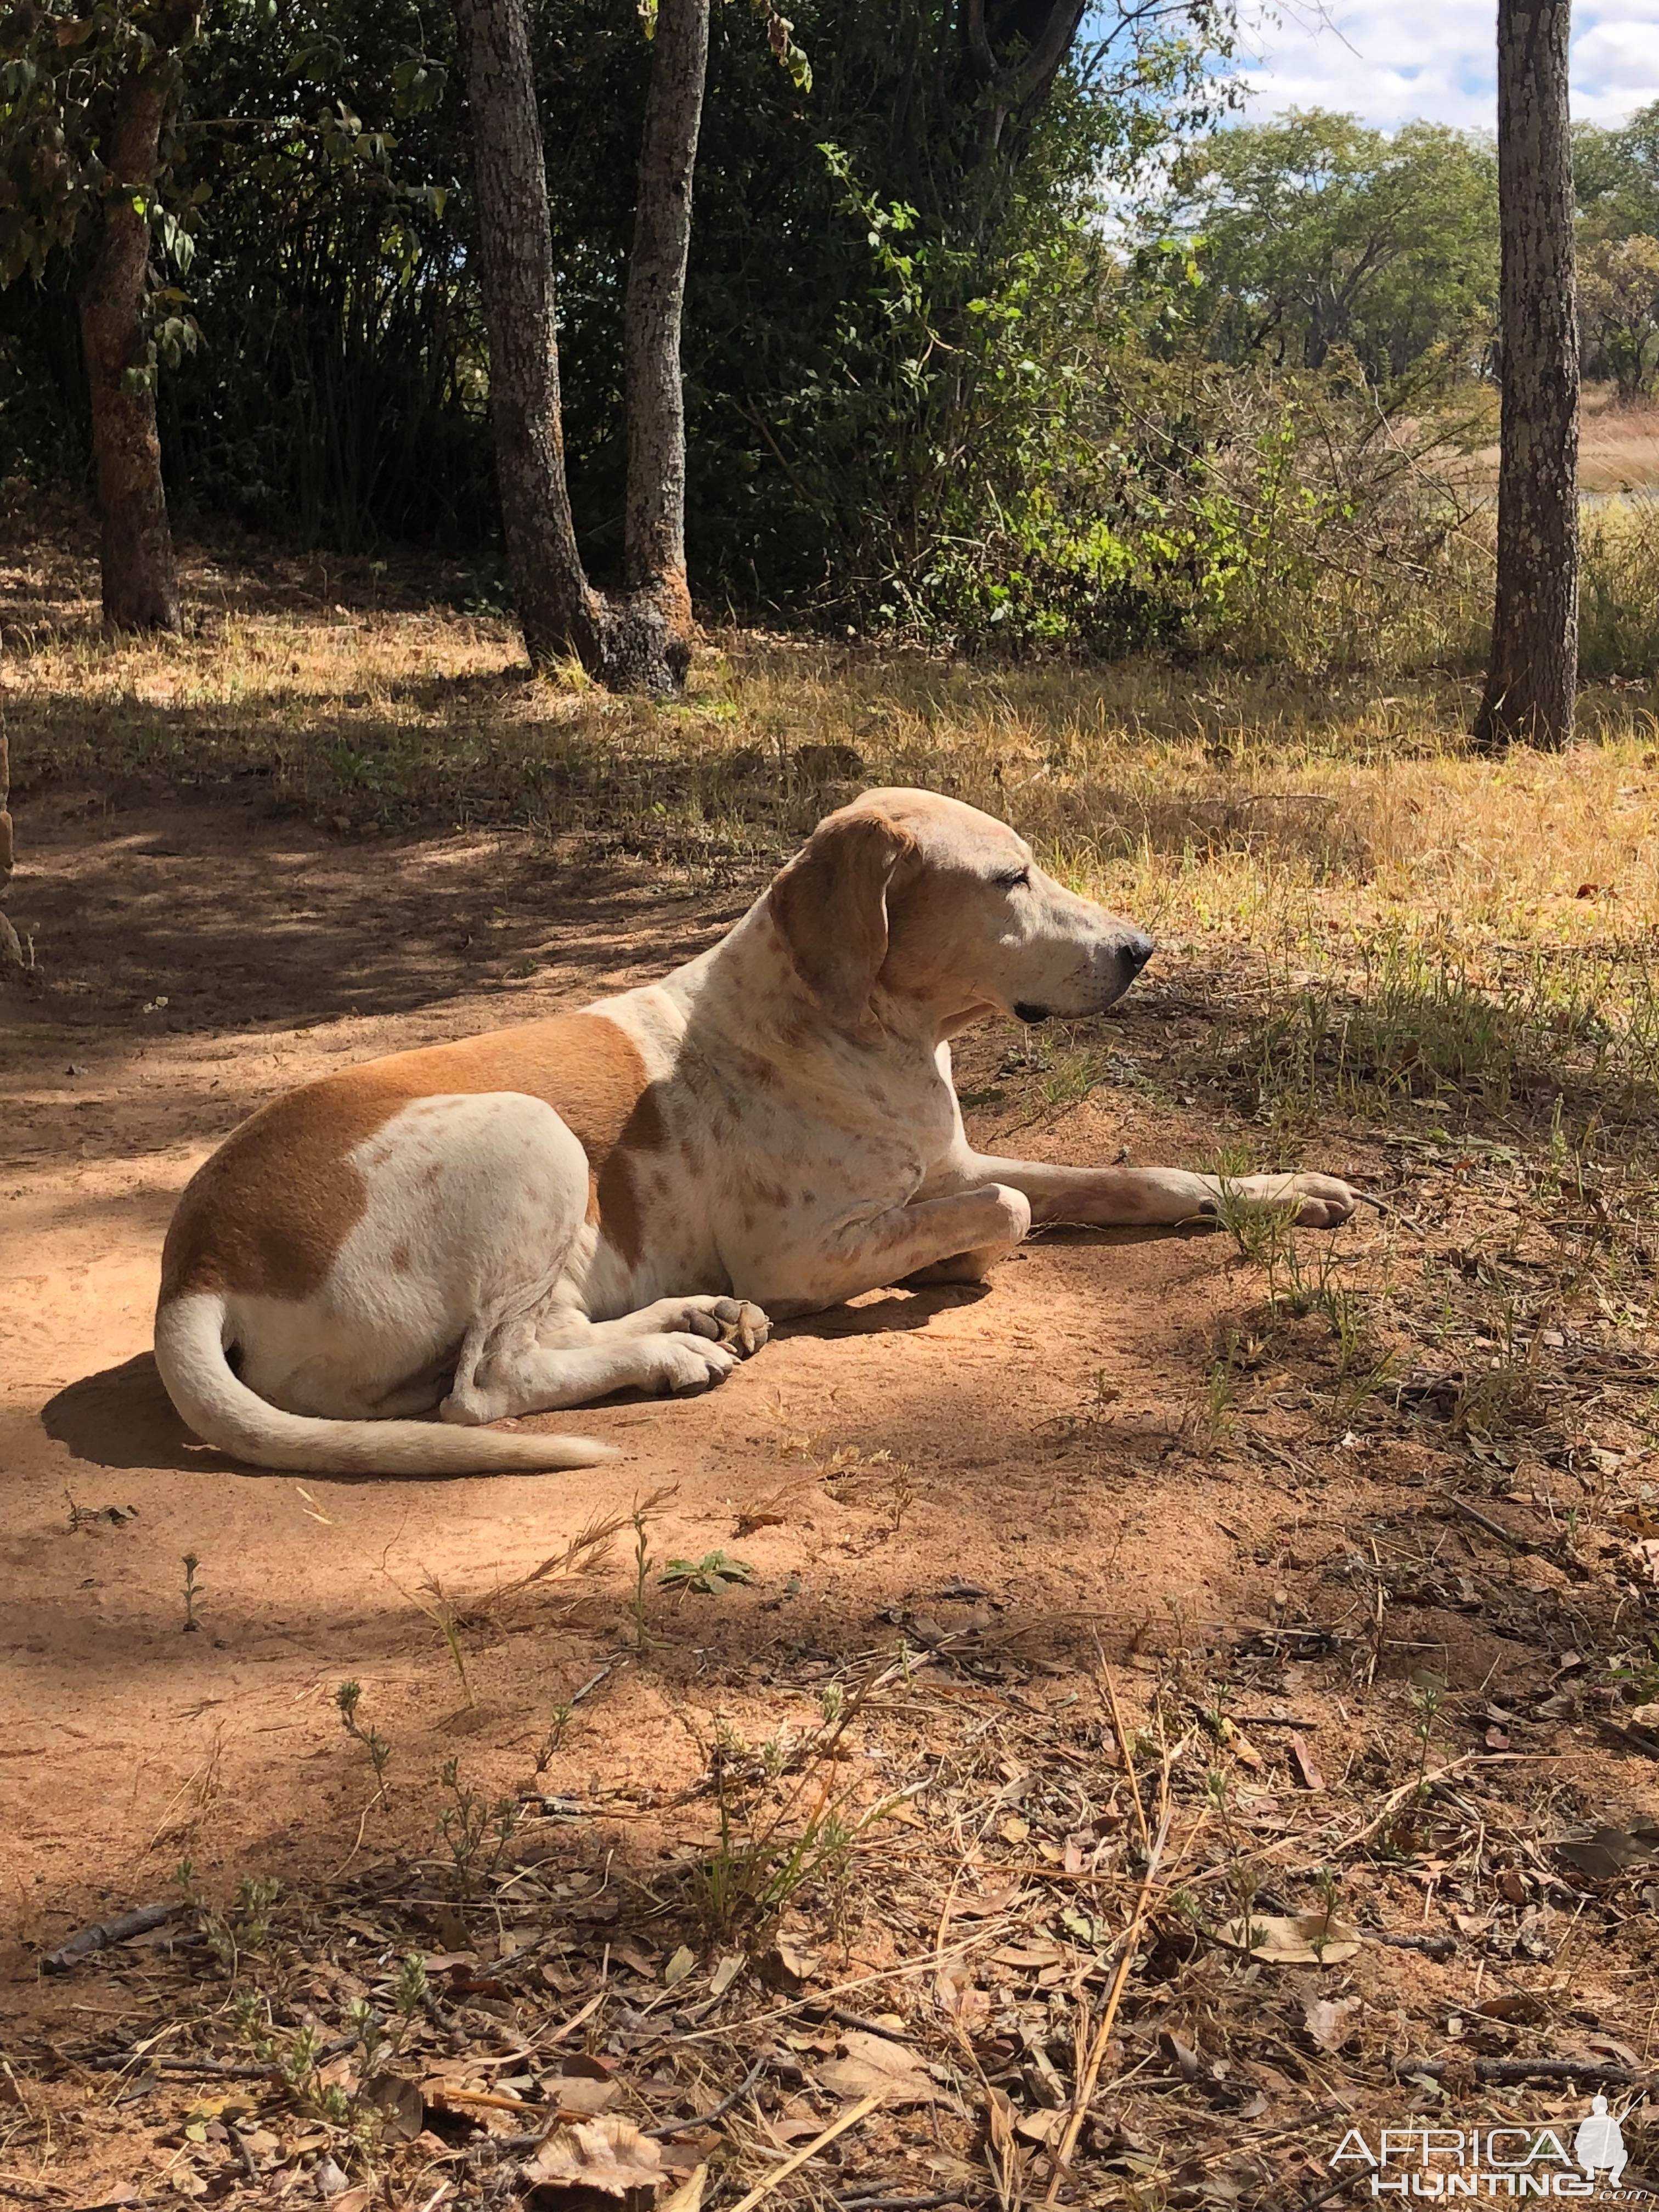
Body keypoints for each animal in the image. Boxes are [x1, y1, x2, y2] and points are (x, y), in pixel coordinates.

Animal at [149, 787, 1353, 1477]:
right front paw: (949, 1265)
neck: (861, 1027)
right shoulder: (806, 1254)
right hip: (533, 1136)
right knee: (487, 1381)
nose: (1142, 951)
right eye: (1010, 878)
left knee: (524, 1343)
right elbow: (1003, 1213)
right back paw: (679, 1352)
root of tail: (194, 1264)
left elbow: (1137, 1177)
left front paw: (1279, 1192)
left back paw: (698, 1319)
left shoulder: (957, 1159)